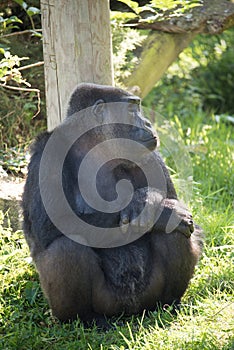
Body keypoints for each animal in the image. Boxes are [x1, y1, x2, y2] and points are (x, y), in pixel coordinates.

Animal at [22, 82, 203, 328]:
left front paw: (150, 201)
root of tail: (129, 313)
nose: (148, 123)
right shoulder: (46, 152)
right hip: (106, 304)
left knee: (174, 231)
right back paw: (83, 318)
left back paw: (168, 302)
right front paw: (157, 210)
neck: (94, 146)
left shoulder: (149, 152)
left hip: (147, 296)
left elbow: (175, 201)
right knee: (67, 247)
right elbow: (52, 225)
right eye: (132, 110)